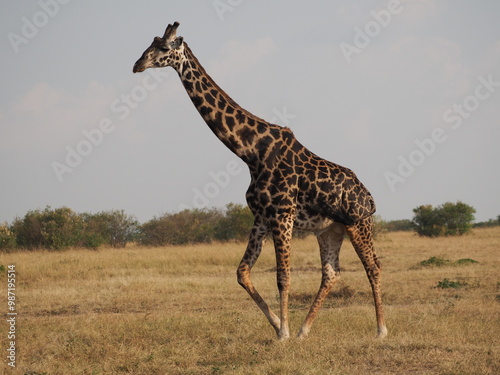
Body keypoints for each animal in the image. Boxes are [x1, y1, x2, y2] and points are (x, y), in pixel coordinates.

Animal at [133, 22, 386, 342]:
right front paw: (280, 326)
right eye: (150, 43)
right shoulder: (261, 217)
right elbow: (242, 272)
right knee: (331, 273)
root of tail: (370, 197)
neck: (251, 152)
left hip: (359, 223)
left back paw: (380, 330)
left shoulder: (282, 214)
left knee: (373, 267)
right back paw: (304, 330)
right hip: (330, 230)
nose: (137, 64)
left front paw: (283, 334)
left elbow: (283, 276)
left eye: (164, 48)